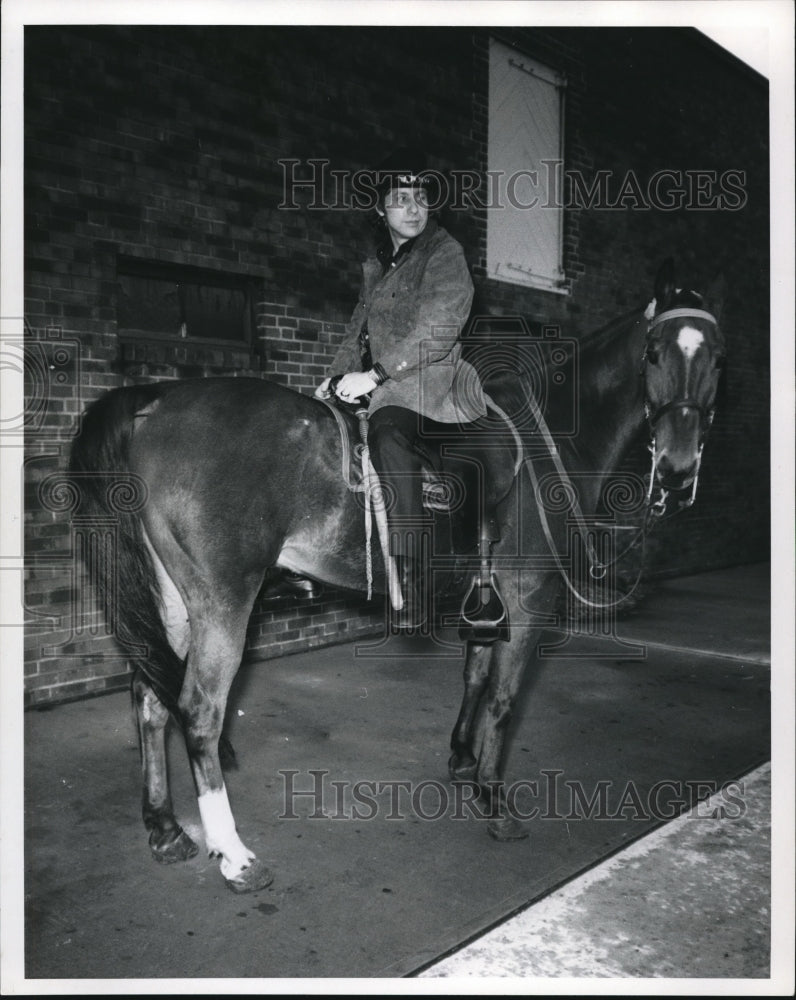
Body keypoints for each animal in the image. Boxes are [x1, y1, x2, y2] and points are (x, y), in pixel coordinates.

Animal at [70, 260, 728, 892]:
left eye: (717, 359)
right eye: (652, 352)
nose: (677, 470)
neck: (548, 446)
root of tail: (154, 402)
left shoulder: (486, 601)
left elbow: (475, 675)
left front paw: (463, 761)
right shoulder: (529, 599)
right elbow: (504, 698)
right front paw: (495, 799)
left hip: (172, 602)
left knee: (149, 696)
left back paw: (164, 827)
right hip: (221, 603)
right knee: (199, 710)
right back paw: (234, 854)